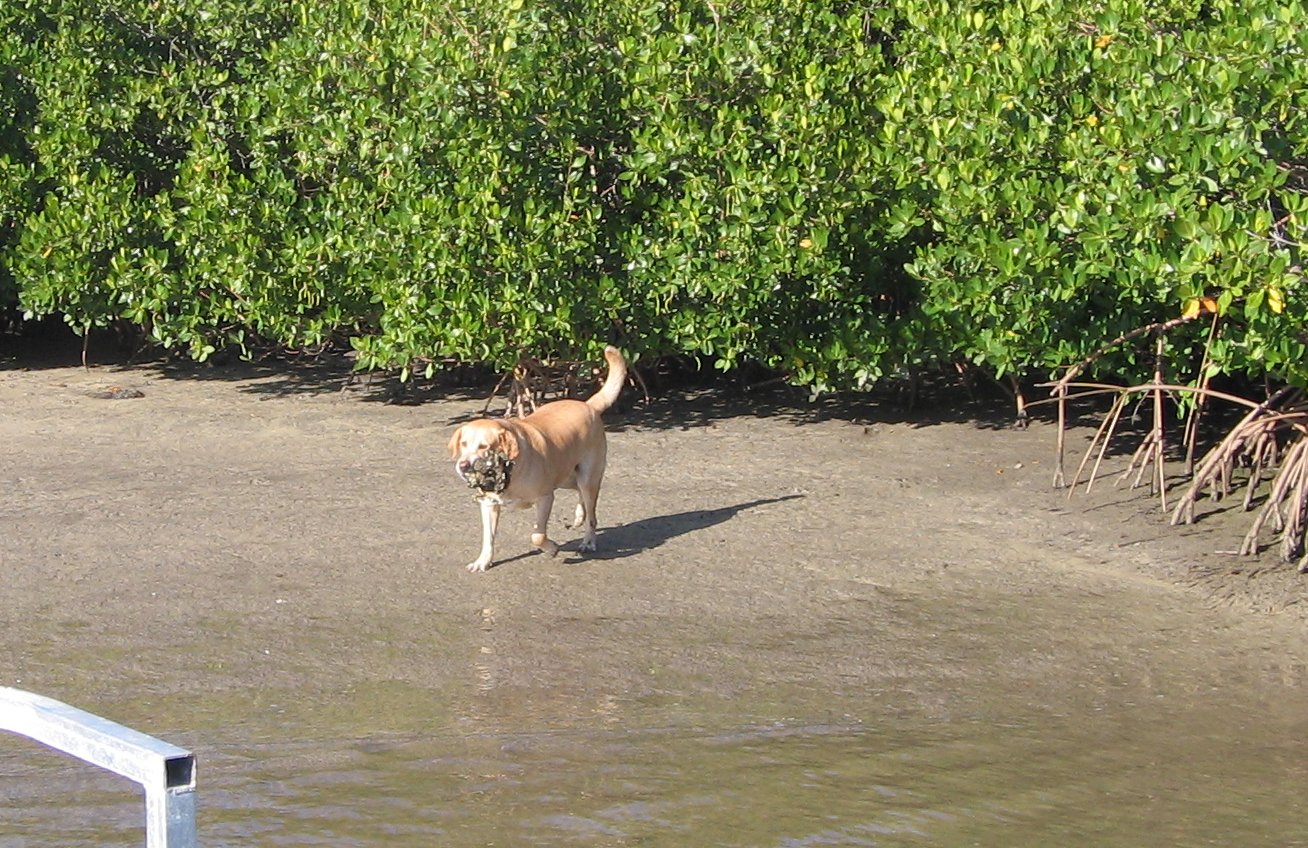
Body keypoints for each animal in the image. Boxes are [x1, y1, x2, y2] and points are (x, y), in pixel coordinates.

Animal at [448, 346, 626, 572]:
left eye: (484, 447)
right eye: (463, 444)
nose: (463, 466)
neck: (510, 473)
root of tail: (589, 406)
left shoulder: (545, 498)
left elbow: (537, 535)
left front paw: (552, 549)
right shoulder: (489, 505)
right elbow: (488, 538)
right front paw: (483, 561)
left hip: (587, 476)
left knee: (592, 514)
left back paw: (588, 541)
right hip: (566, 475)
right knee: (580, 495)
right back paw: (579, 515)